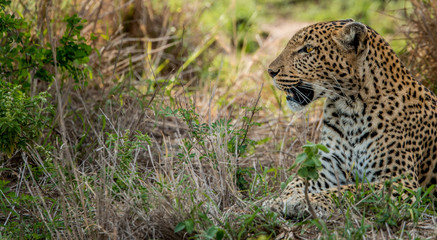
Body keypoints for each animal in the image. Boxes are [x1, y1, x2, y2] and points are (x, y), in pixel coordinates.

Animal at [262, 19, 436, 219]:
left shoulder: (400, 183)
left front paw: (306, 201)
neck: (349, 110)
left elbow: (350, 190)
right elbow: (297, 181)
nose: (270, 71)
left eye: (308, 49)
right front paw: (279, 200)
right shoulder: (330, 168)